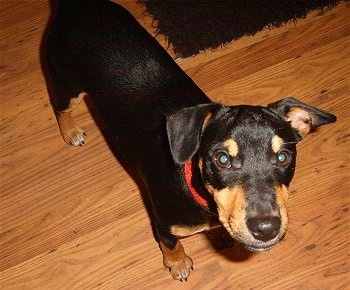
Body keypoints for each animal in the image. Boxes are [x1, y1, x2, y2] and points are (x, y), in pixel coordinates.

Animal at [43, 0, 336, 280]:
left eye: (283, 157)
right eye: (222, 159)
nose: (266, 228)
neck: (200, 194)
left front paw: (218, 236)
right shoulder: (164, 226)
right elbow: (171, 246)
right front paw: (179, 264)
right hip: (65, 81)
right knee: (60, 107)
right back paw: (71, 131)